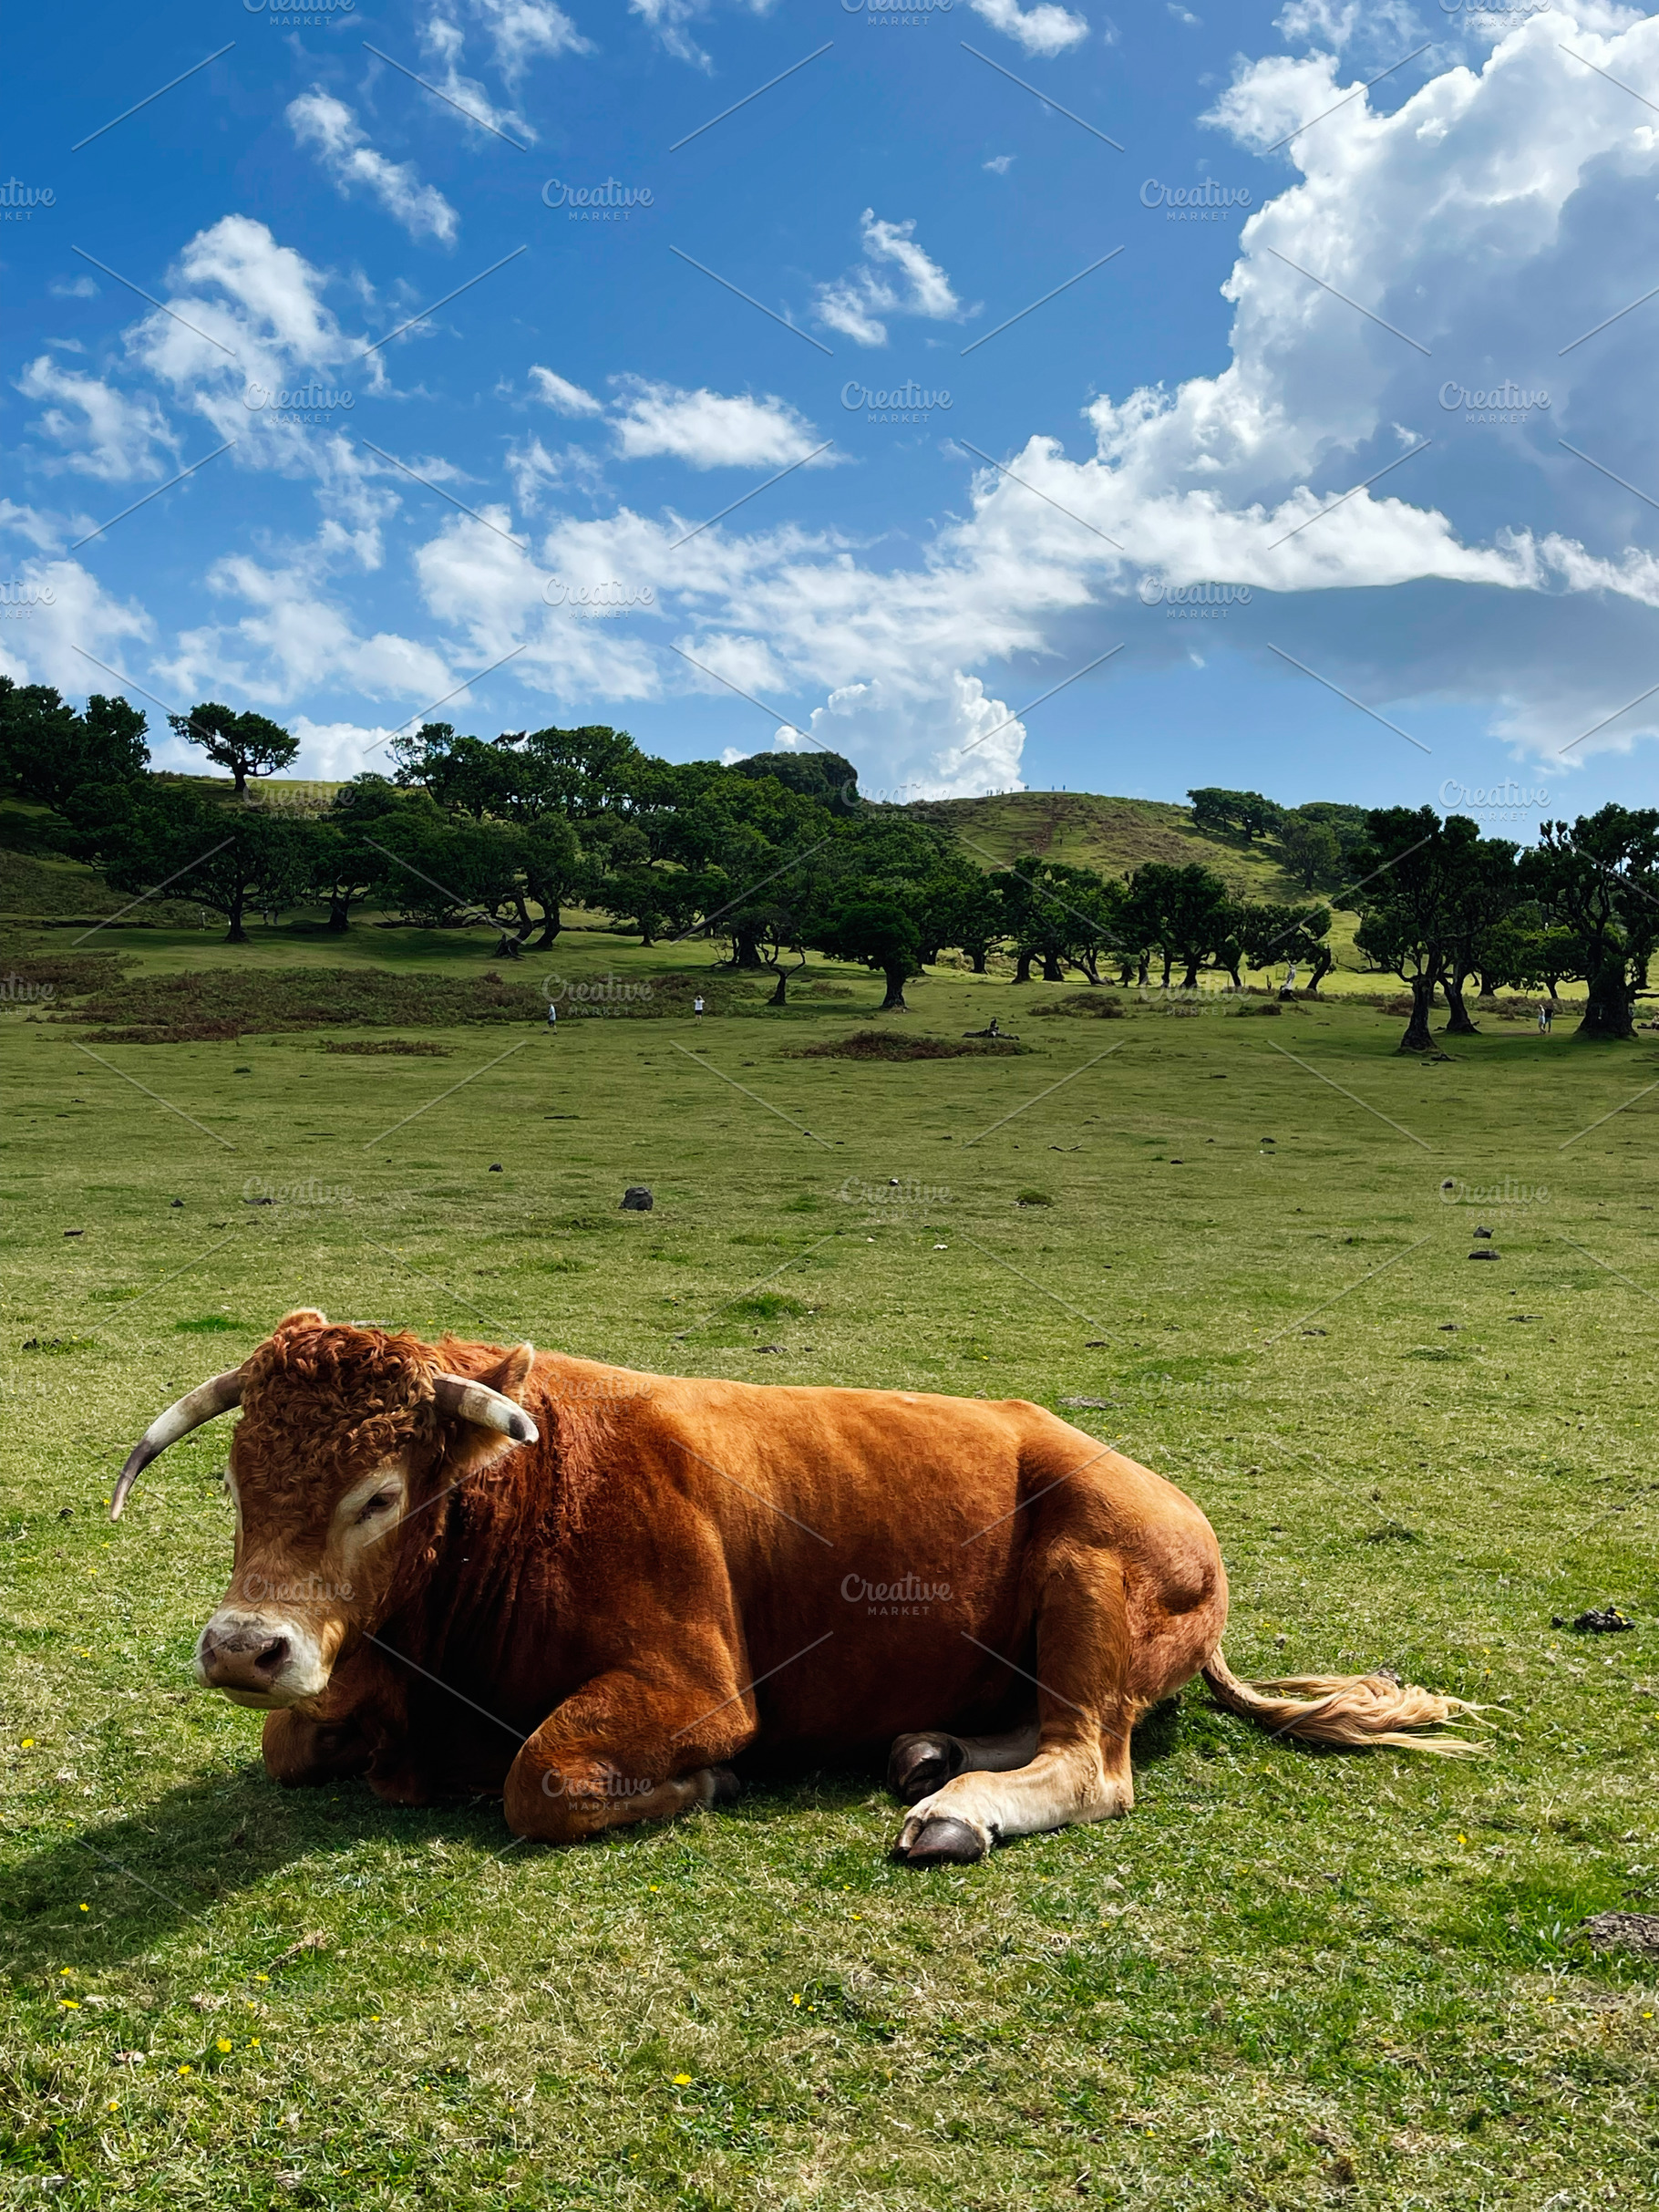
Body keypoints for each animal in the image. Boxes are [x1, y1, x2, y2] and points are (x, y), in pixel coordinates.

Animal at [111, 1312, 1483, 1862]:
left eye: (382, 1494)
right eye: (235, 1478)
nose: (243, 1645)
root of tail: (1180, 1510)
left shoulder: (695, 1684)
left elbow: (537, 1778)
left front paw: (703, 1786)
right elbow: (292, 1743)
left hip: (1091, 1576)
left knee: (1093, 1758)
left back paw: (955, 1808)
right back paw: (930, 1751)